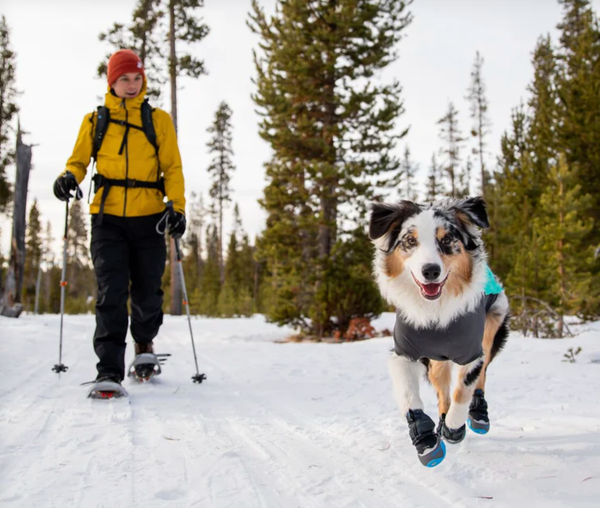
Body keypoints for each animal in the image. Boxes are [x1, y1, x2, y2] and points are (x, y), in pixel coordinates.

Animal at [368, 196, 508, 466]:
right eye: (410, 241)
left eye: (447, 239)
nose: (430, 271)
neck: (436, 313)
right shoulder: (404, 353)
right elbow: (409, 395)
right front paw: (425, 439)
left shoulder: (471, 351)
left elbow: (463, 391)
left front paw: (454, 427)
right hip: (435, 361)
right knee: (443, 392)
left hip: (493, 323)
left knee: (481, 374)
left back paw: (476, 414)